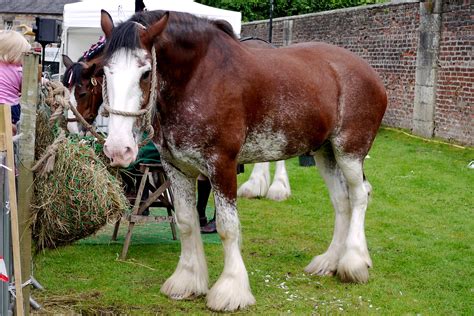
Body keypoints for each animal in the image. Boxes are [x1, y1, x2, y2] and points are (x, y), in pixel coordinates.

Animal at [100, 9, 386, 312]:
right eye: (105, 71)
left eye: (145, 73)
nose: (118, 149)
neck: (198, 77)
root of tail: (369, 72)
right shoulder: (175, 167)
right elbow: (187, 222)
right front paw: (187, 281)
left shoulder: (222, 165)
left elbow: (228, 228)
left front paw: (231, 290)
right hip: (325, 152)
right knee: (342, 202)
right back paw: (329, 261)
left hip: (349, 151)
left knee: (359, 195)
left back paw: (354, 262)